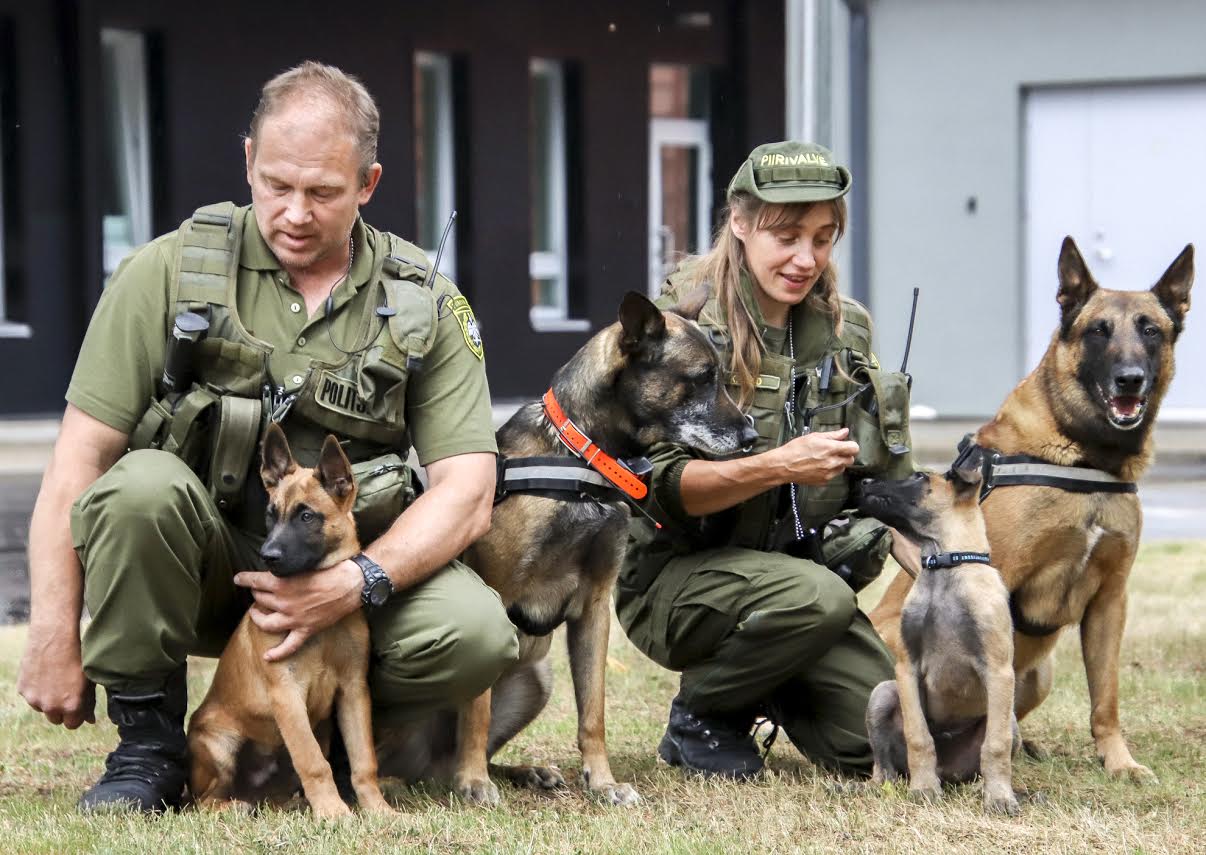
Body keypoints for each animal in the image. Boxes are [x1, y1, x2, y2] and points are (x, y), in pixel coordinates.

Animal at [185, 424, 390, 815]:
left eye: (306, 516)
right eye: (271, 514)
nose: (268, 556)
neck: (324, 629)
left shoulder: (354, 691)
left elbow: (364, 760)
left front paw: (378, 809)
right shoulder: (286, 694)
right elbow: (313, 762)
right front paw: (334, 813)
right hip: (219, 744)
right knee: (202, 801)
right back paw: (234, 806)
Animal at [448, 290, 757, 805]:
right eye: (700, 379)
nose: (751, 438)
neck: (582, 458)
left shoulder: (593, 607)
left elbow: (593, 712)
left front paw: (603, 782)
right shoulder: (494, 593)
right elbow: (476, 708)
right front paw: (473, 782)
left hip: (537, 677)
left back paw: (527, 772)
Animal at [858, 467, 1017, 815]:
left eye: (919, 476)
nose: (863, 481)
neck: (945, 564)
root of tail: (948, 770)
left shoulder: (999, 670)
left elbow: (996, 745)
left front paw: (1000, 797)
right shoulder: (906, 669)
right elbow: (919, 736)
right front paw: (923, 788)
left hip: (1009, 718)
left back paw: (981, 789)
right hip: (882, 693)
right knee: (884, 767)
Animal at [873, 235, 1191, 781]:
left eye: (1150, 329)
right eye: (1099, 331)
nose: (1129, 380)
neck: (1087, 456)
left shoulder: (1111, 600)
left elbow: (1105, 698)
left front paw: (1118, 761)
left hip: (1040, 673)